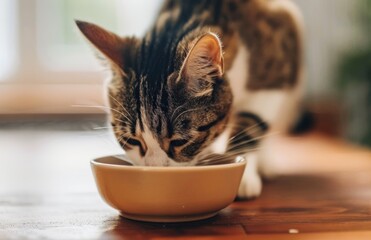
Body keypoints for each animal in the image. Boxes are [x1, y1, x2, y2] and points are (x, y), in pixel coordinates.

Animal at [76, 0, 306, 199]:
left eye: (180, 142)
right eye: (132, 140)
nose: (155, 170)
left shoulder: (277, 63)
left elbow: (251, 123)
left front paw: (243, 176)